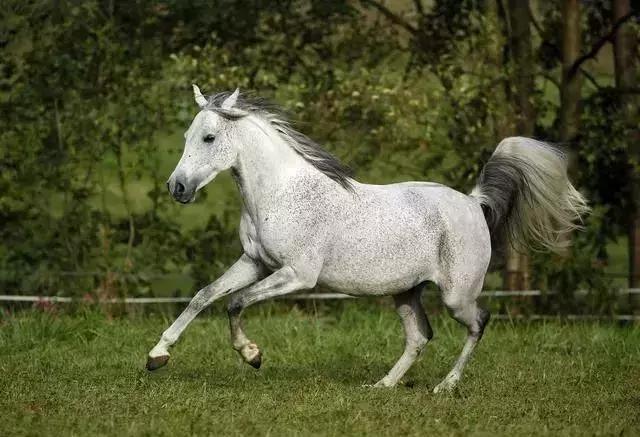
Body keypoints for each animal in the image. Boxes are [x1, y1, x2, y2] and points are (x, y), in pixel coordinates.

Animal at [146, 86, 592, 392]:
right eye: (186, 136)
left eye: (208, 138)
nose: (177, 188)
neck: (280, 193)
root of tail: (473, 201)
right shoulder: (254, 262)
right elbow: (204, 296)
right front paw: (157, 356)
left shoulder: (297, 275)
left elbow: (236, 303)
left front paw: (252, 355)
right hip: (405, 292)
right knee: (419, 337)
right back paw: (382, 386)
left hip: (456, 295)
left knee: (479, 322)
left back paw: (445, 386)